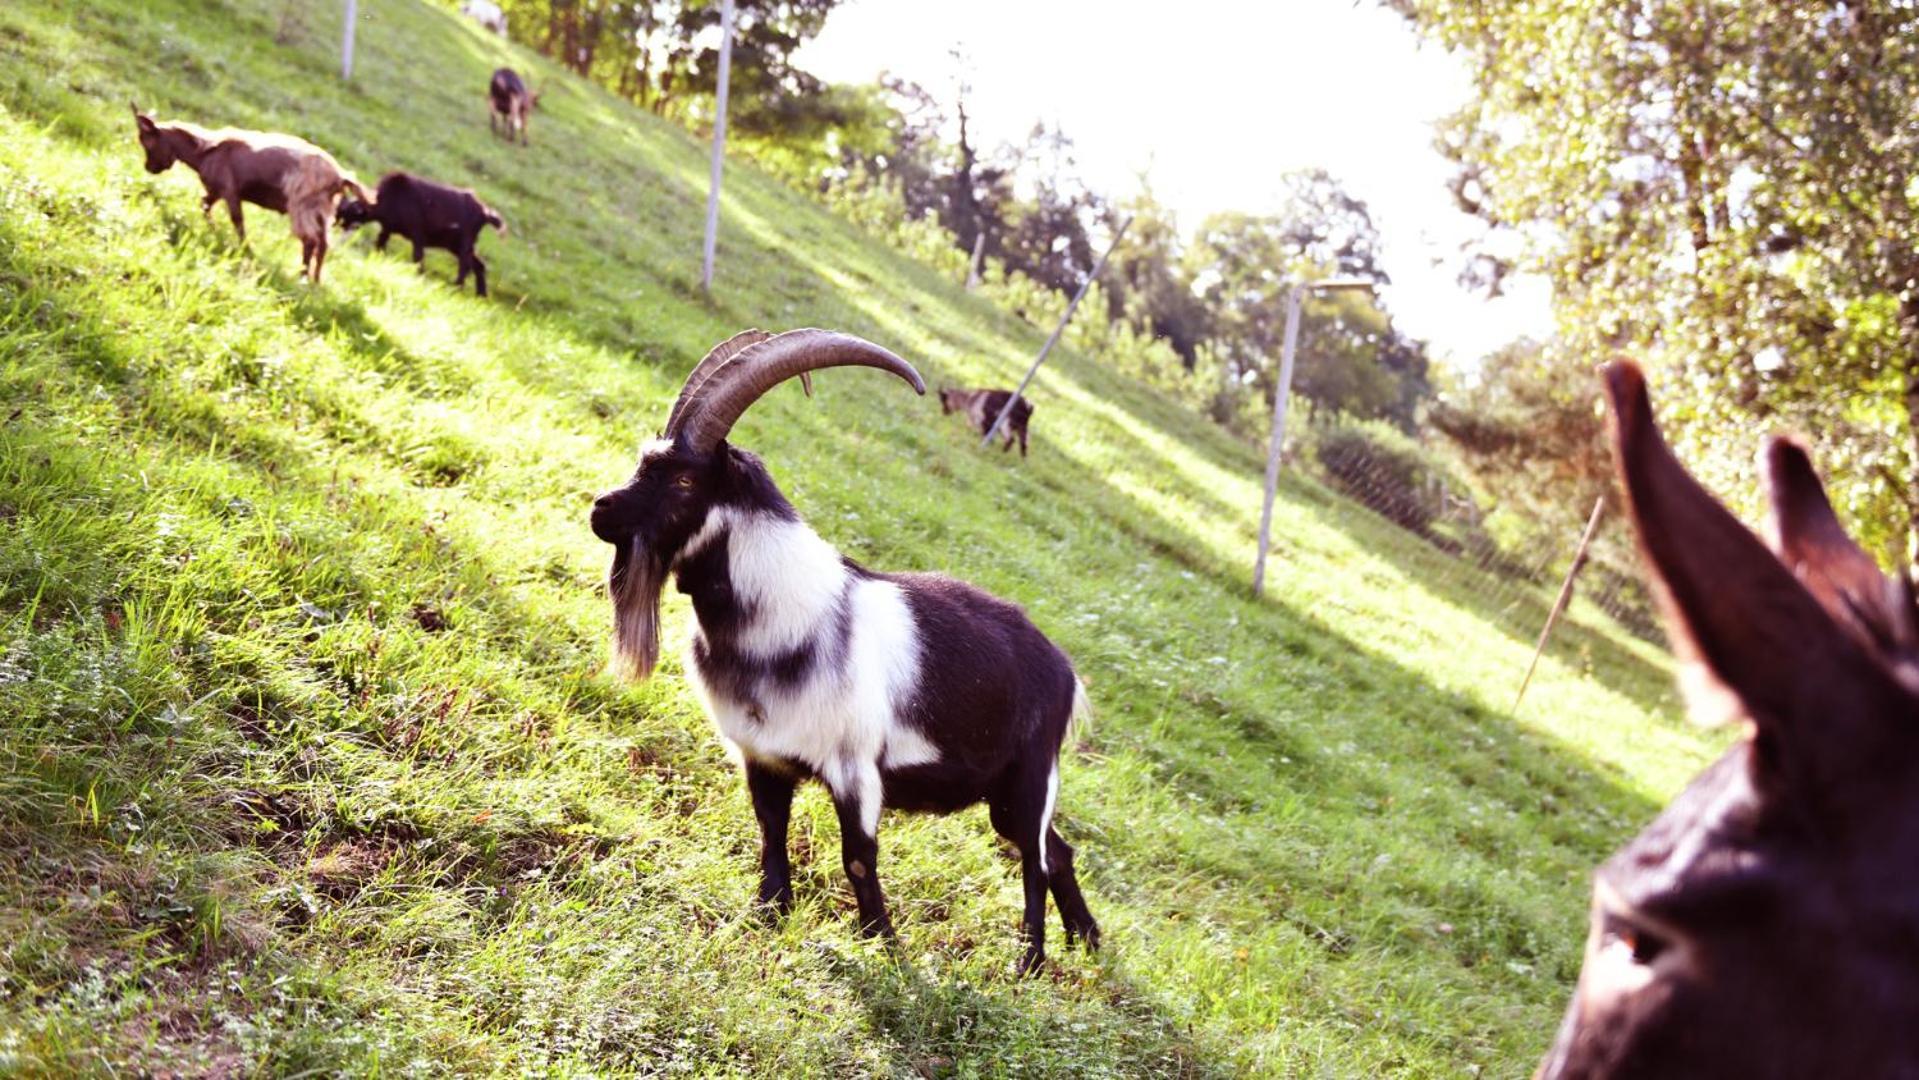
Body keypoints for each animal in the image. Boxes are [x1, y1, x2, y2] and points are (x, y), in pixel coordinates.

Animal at [132, 102, 370, 283]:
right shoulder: (216, 191)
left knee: (310, 240)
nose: (149, 168)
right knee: (322, 243)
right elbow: (204, 204)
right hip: (321, 209)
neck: (206, 150)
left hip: (301, 206)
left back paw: (302, 277)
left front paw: (245, 251)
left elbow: (237, 220)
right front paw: (214, 230)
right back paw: (315, 281)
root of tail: (340, 177)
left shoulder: (230, 191)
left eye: (147, 142)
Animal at [337, 174, 506, 299]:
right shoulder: (387, 229)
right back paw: (480, 295)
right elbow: (380, 245)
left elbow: (418, 257)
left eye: (346, 213)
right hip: (457, 246)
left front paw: (419, 276)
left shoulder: (417, 234)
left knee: (465, 265)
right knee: (479, 265)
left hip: (464, 244)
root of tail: (485, 212)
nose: (336, 227)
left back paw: (456, 287)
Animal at [583, 328, 1105, 970]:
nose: (600, 509)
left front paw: (884, 946)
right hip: (1002, 789)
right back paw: (1087, 939)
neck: (788, 614)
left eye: (683, 480)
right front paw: (768, 915)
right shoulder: (762, 755)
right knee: (1057, 850)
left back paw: (1027, 962)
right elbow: (771, 831)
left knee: (1033, 856)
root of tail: (1066, 672)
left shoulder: (855, 768)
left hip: (1029, 774)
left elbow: (857, 856)